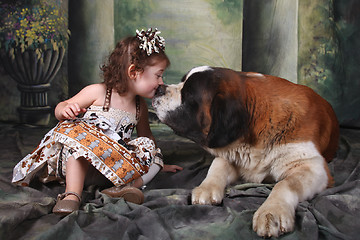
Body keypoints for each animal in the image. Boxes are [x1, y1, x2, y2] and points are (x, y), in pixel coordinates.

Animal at [153, 65, 340, 236]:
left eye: (188, 94)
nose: (158, 88)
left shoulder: (312, 166)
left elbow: (285, 183)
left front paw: (272, 212)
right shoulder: (231, 153)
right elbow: (218, 164)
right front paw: (206, 187)